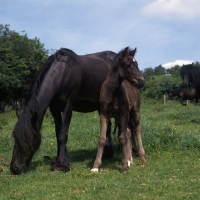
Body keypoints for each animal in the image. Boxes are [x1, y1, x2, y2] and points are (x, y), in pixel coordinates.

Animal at [10, 47, 138, 174]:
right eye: (15, 138)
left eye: (28, 140)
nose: (14, 168)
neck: (61, 74)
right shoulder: (54, 109)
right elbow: (58, 134)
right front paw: (60, 160)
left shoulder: (68, 106)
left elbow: (63, 134)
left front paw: (61, 165)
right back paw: (107, 153)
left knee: (130, 126)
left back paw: (132, 153)